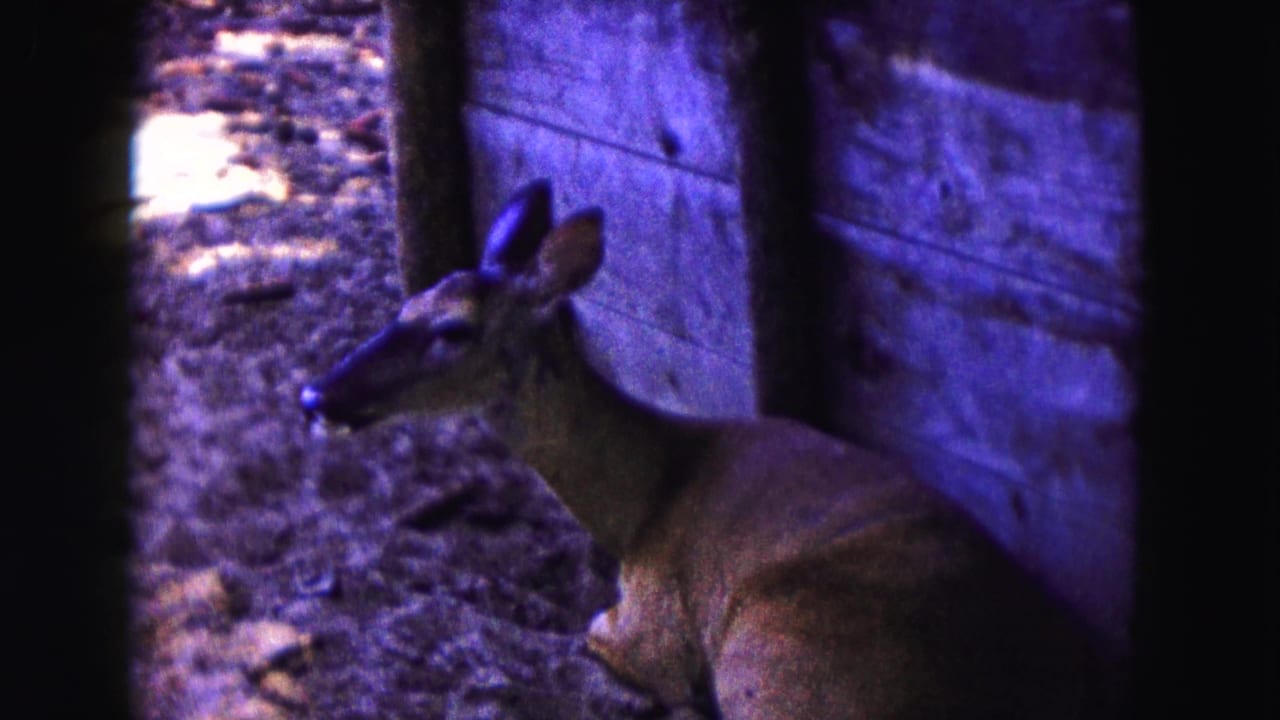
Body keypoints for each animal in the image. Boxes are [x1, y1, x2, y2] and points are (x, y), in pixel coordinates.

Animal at [300, 179, 1106, 719]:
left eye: (453, 330)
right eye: (405, 305)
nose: (317, 395)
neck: (641, 503)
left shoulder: (655, 624)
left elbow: (603, 636)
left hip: (783, 661)